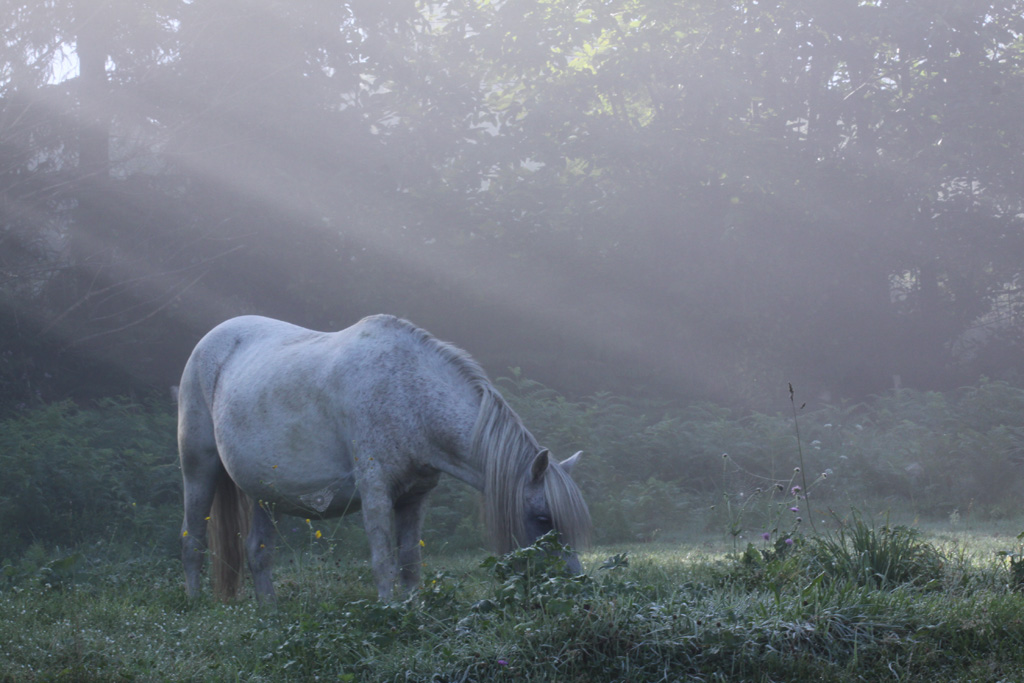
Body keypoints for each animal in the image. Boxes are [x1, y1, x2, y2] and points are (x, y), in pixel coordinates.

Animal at [180, 313, 589, 602]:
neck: (408, 396)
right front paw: (389, 613)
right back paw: (194, 603)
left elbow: (409, 563)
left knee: (258, 553)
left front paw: (413, 613)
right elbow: (383, 562)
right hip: (198, 472)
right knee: (194, 541)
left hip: (267, 493)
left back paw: (271, 615)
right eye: (542, 518)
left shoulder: (416, 496)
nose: (576, 584)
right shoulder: (375, 491)